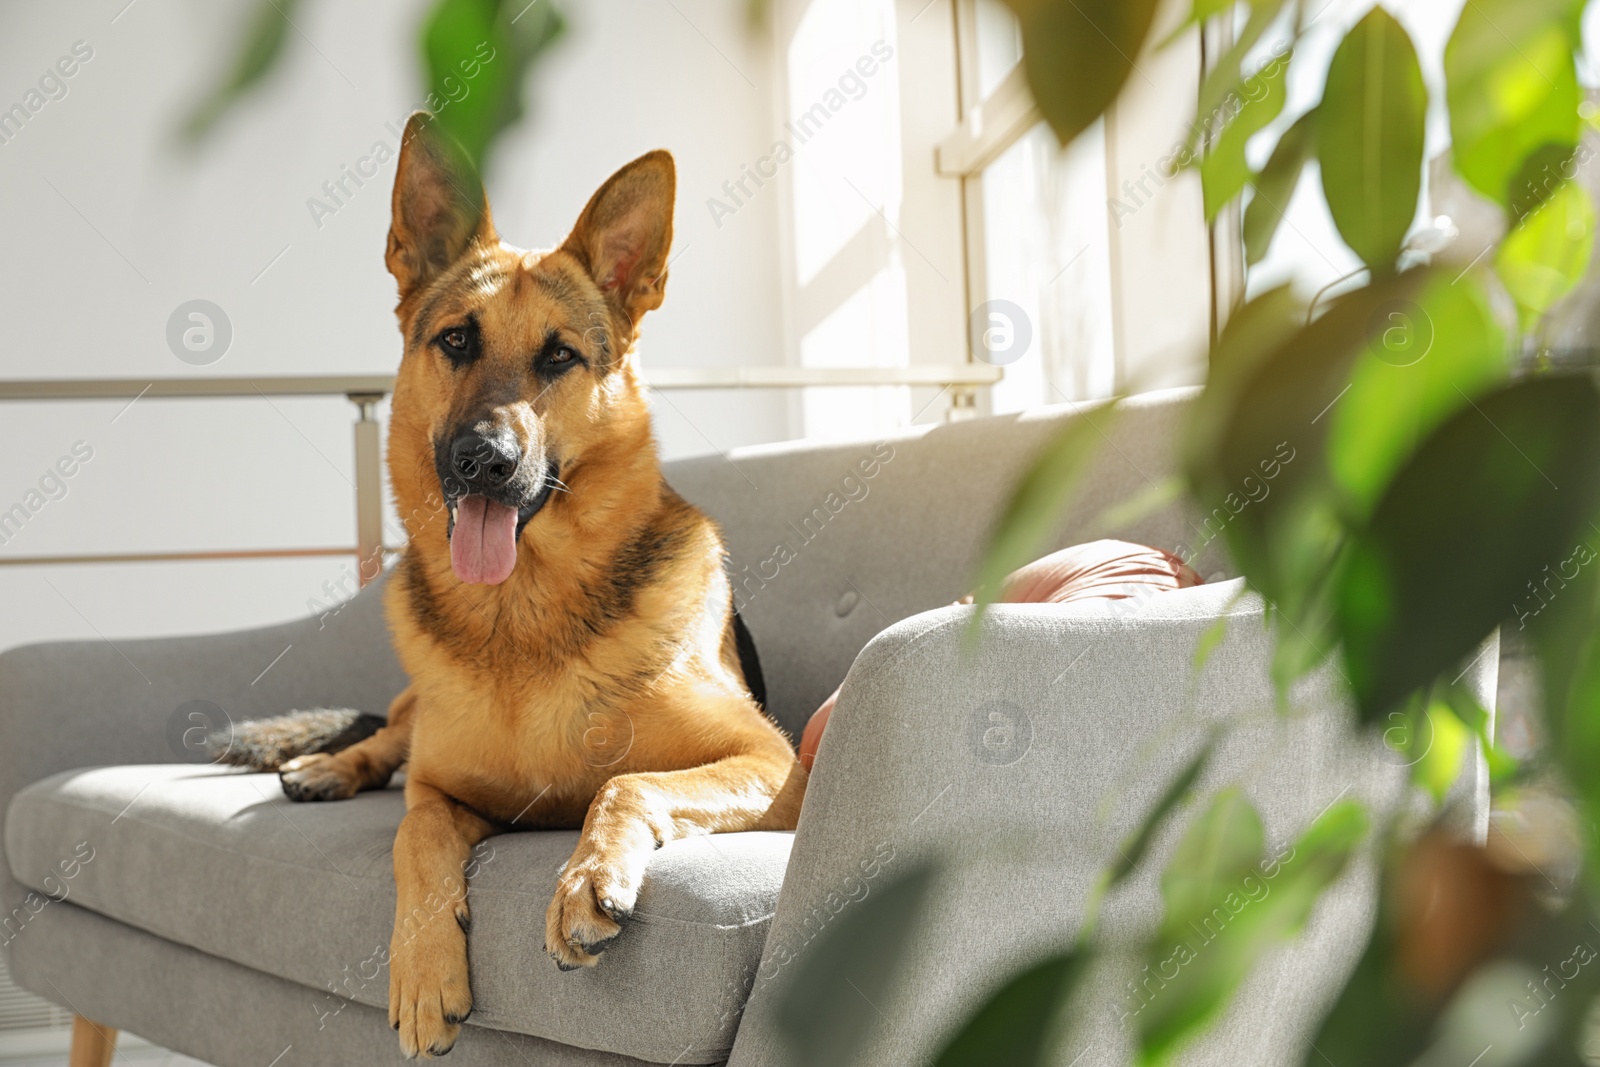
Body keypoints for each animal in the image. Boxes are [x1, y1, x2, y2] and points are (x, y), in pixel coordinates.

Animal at [260, 112, 806, 1062]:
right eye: (456, 340)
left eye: (560, 356)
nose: (485, 460)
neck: (522, 619)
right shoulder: (444, 791)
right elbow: (414, 830)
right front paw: (424, 967)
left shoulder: (771, 763)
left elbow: (627, 782)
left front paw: (588, 878)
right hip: (412, 714)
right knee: (388, 737)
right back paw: (327, 765)